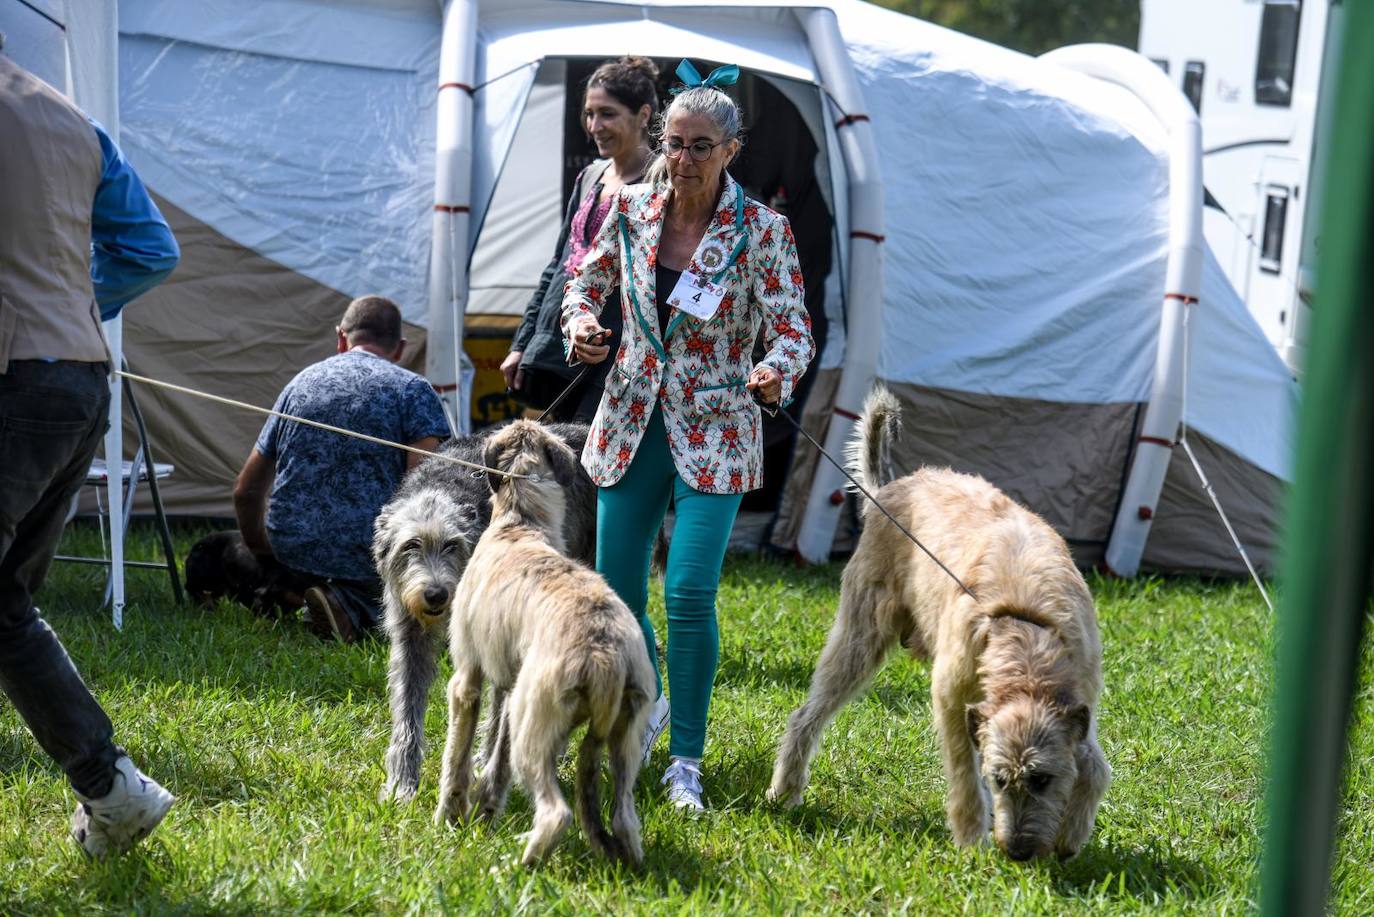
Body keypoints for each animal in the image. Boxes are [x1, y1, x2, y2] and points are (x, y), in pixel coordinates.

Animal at [436, 420, 656, 863]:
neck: (521, 523)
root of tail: (606, 654)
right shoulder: (508, 688)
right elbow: (496, 757)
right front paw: (485, 806)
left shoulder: (467, 679)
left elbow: (456, 753)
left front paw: (449, 812)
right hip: (621, 735)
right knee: (624, 814)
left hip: (537, 725)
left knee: (557, 813)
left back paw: (519, 861)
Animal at [769, 387, 1110, 863]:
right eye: (999, 779)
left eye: (1041, 779)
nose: (1017, 852)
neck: (1026, 626)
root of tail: (888, 490)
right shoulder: (951, 694)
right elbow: (965, 771)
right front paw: (971, 839)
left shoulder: (1083, 697)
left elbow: (1095, 767)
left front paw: (1071, 834)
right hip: (859, 637)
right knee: (806, 715)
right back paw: (785, 789)